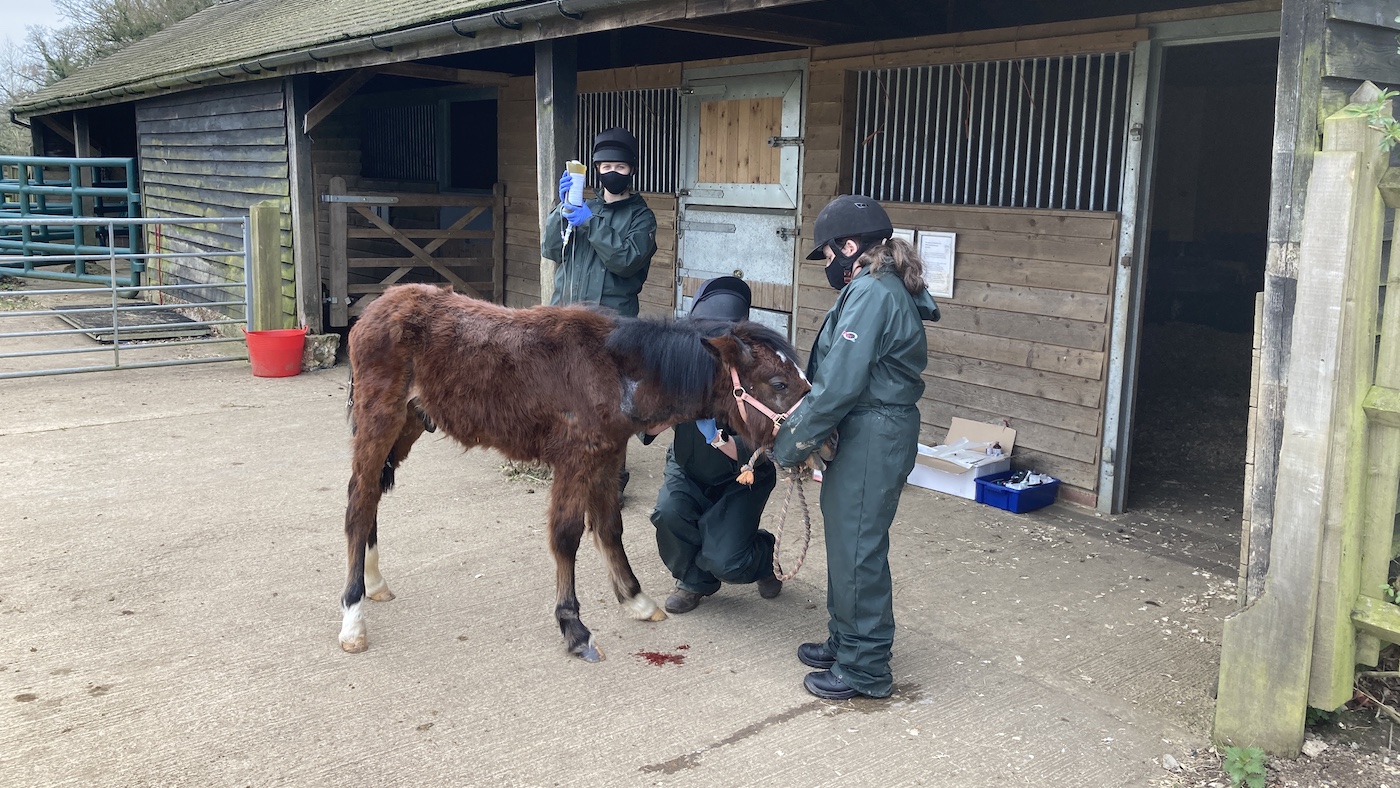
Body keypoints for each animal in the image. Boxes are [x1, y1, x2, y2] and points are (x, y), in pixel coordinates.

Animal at [339, 283, 809, 661]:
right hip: (379, 419)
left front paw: (636, 600)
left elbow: (609, 527)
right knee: (359, 502)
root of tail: (376, 306)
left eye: (805, 380)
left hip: (410, 423)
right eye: (779, 383)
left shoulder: (606, 456)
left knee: (373, 492)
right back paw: (353, 618)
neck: (614, 371)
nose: (818, 444)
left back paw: (375, 581)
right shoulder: (574, 460)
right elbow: (566, 536)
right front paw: (575, 629)